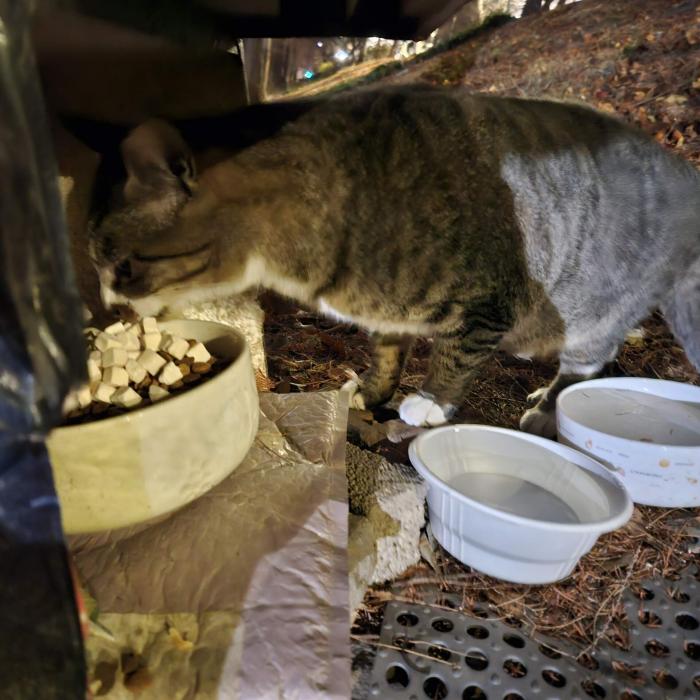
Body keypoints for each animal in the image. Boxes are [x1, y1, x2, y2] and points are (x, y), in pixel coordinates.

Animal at [86, 85, 700, 435]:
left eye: (123, 269)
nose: (108, 304)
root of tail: (680, 171)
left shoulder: (491, 298)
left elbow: (456, 354)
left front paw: (429, 402)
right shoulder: (383, 313)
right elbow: (384, 352)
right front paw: (374, 391)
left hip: (592, 299)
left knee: (586, 361)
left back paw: (551, 406)